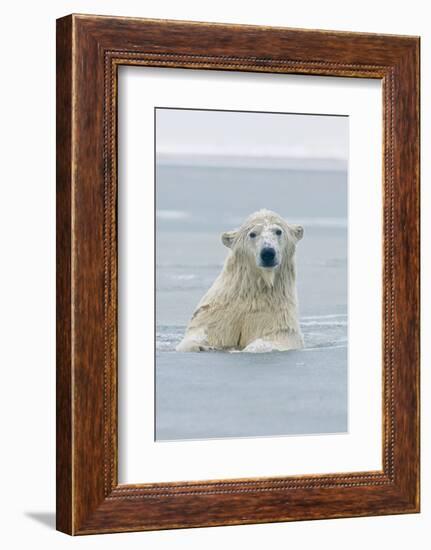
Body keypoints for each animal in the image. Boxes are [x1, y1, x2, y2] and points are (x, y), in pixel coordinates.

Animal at [176, 211, 304, 354]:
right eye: (252, 234)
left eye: (278, 231)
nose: (268, 253)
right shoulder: (217, 312)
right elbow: (202, 332)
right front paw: (203, 346)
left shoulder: (277, 315)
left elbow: (276, 337)